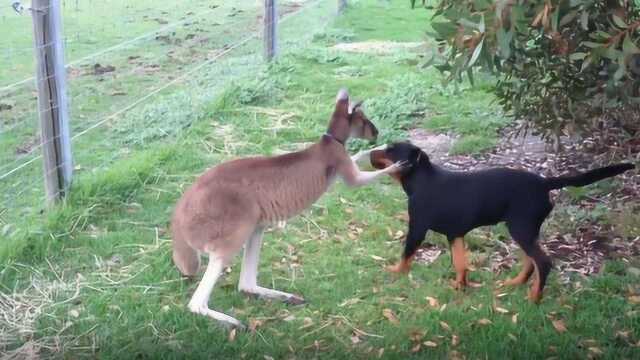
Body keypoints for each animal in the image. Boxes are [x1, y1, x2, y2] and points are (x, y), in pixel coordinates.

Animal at [370, 142, 636, 302]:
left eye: (391, 151)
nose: (370, 152)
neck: (422, 179)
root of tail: (544, 183)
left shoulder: (417, 227)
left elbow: (407, 253)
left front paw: (396, 272)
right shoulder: (455, 234)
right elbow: (460, 263)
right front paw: (460, 287)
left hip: (520, 228)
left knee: (542, 262)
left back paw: (534, 299)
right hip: (526, 229)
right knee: (531, 261)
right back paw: (515, 283)